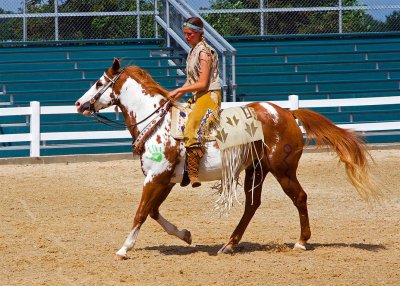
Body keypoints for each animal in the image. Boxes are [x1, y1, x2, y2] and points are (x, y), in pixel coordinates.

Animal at [76, 58, 382, 260]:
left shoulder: (155, 178)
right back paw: (230, 243)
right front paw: (185, 234)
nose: (79, 104)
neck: (157, 123)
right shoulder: (164, 181)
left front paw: (123, 249)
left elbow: (141, 212)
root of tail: (286, 112)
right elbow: (153, 212)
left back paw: (301, 241)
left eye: (99, 82)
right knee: (252, 205)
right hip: (256, 170)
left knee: (299, 198)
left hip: (283, 170)